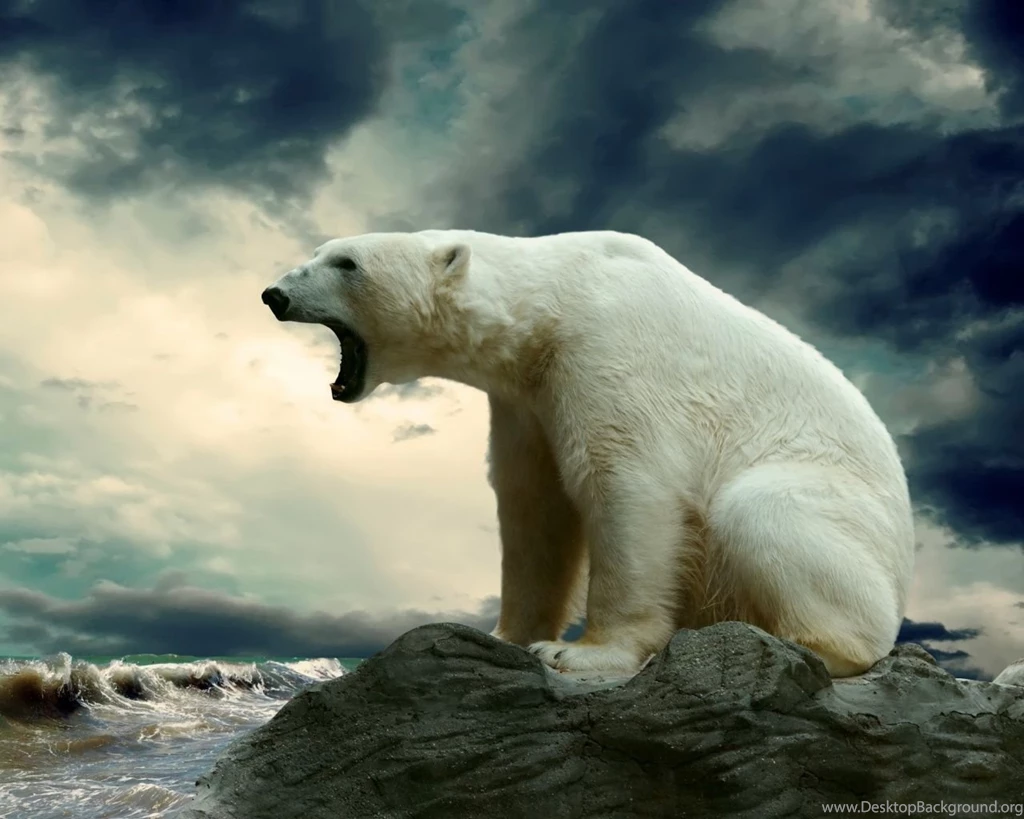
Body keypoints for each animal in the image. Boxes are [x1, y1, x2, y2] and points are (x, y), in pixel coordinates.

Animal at [261, 229, 916, 677]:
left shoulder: (608, 350)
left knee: (762, 510)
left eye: (347, 262)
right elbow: (533, 507)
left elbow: (625, 483)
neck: (553, 301)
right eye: (321, 251)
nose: (273, 294)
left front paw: (582, 653)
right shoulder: (527, 397)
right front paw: (503, 634)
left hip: (835, 504)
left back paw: (806, 646)